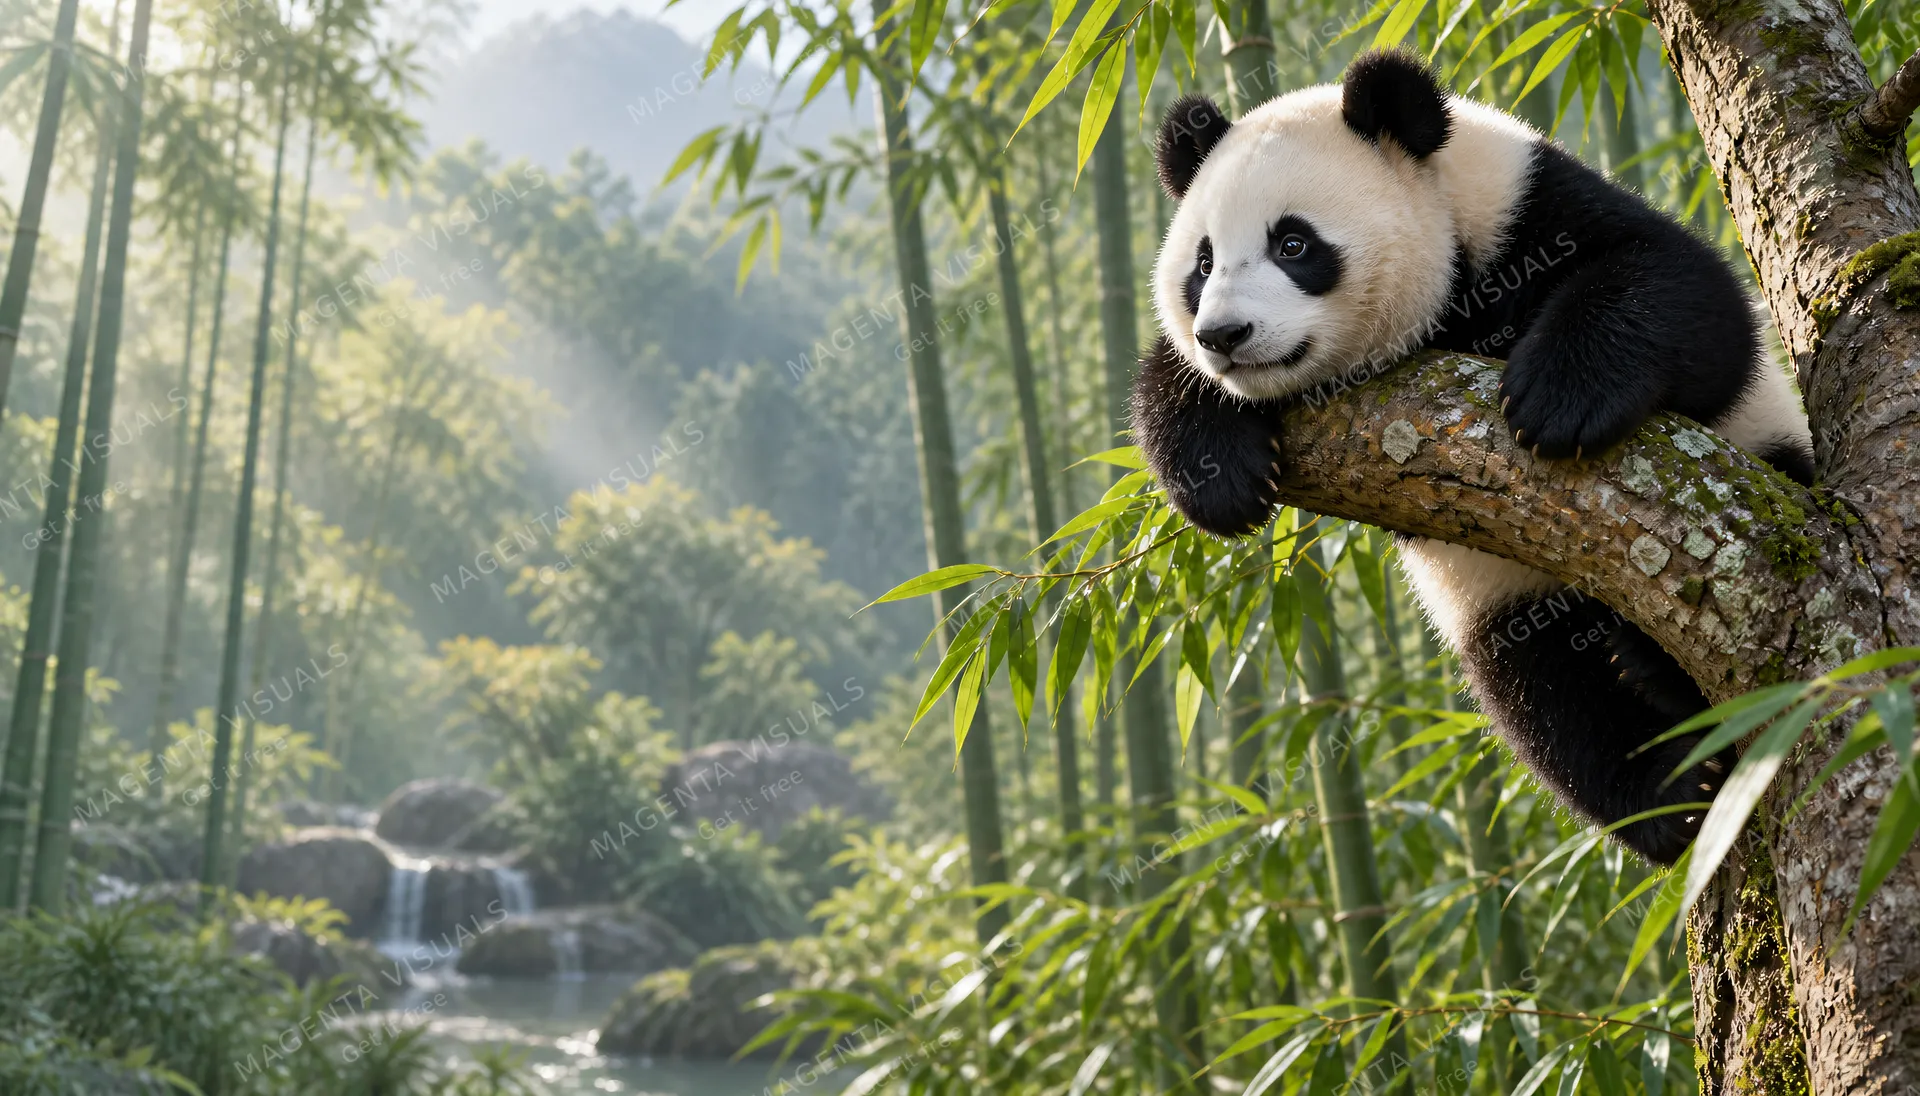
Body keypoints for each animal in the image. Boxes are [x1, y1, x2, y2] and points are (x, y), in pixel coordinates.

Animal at [1131, 49, 1814, 864]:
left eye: (1292, 244)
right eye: (1202, 265)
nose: (1226, 335)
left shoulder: (1528, 207)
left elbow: (1687, 297)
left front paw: (1559, 399)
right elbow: (1168, 377)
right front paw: (1222, 477)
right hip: (1504, 604)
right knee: (1549, 700)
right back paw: (1671, 793)